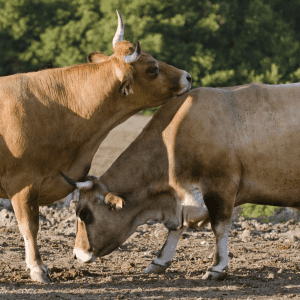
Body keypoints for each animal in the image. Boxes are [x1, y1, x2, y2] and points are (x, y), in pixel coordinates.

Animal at [65, 81, 300, 278]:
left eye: (85, 214)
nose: (77, 254)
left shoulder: (220, 187)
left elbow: (219, 227)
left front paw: (216, 267)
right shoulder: (182, 200)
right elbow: (176, 229)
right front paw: (159, 261)